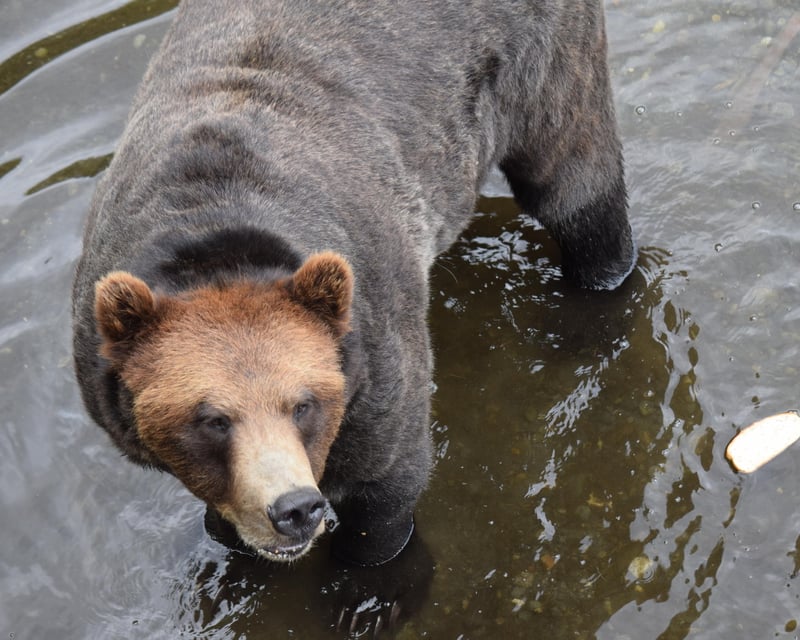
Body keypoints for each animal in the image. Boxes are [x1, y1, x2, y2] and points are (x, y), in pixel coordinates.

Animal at [72, 0, 635, 566]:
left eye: (303, 404)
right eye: (213, 419)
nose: (294, 508)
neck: (213, 232)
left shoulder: (373, 355)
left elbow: (386, 486)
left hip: (542, 67)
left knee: (578, 184)